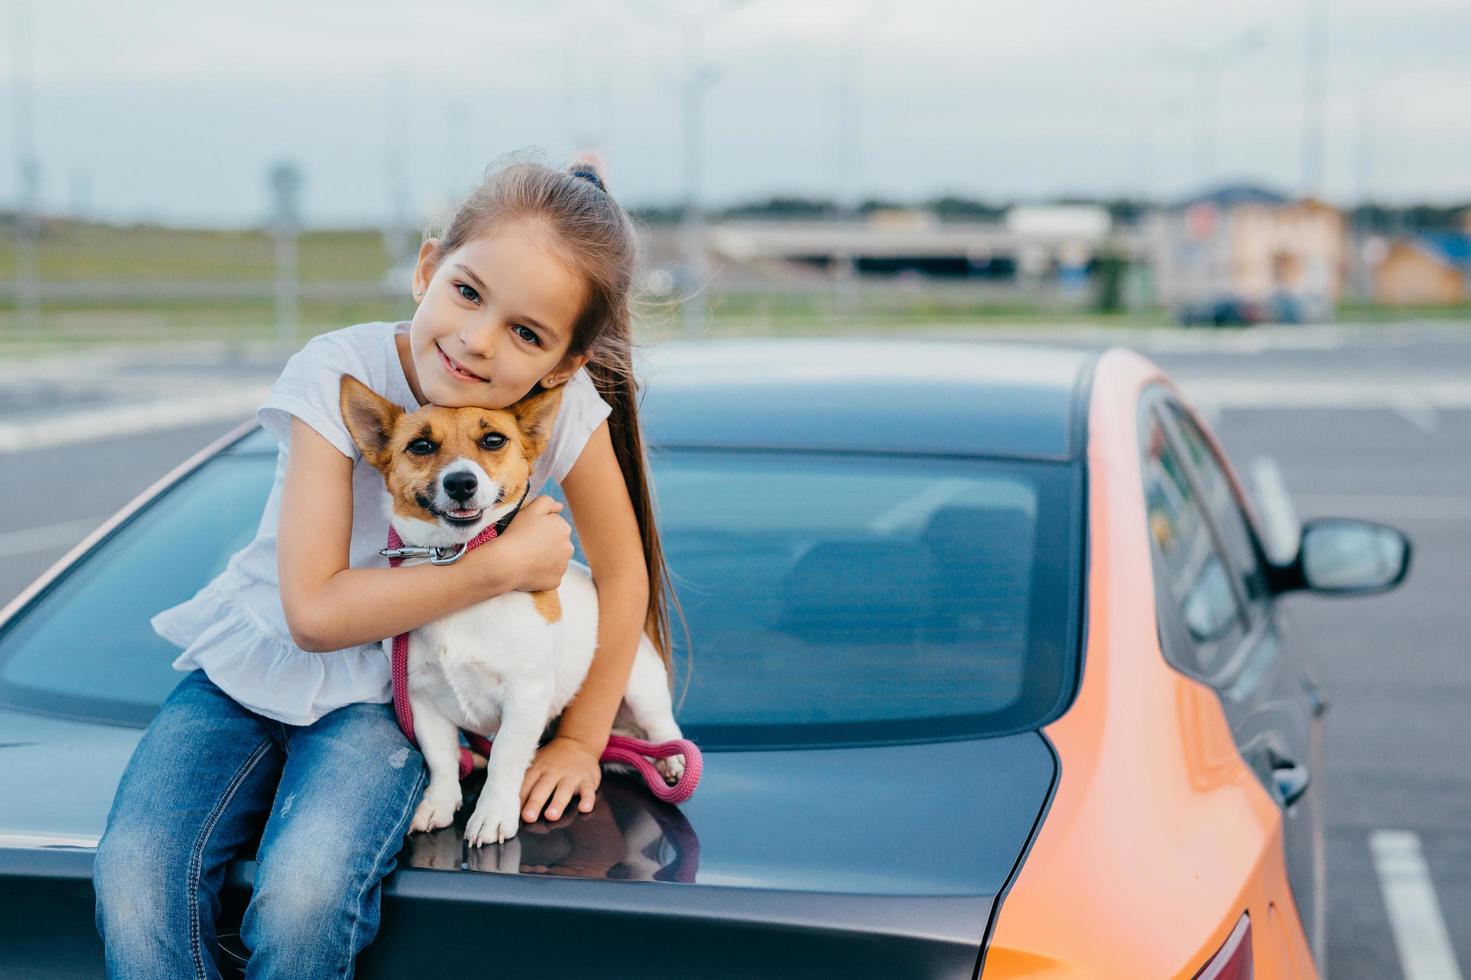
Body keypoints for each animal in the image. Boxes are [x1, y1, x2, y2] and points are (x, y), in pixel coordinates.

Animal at [341, 376, 685, 841]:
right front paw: (439, 802)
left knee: (663, 727)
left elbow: (506, 755)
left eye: (493, 440)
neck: (460, 565)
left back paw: (672, 760)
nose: (461, 482)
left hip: (639, 684)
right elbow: (441, 758)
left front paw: (492, 813)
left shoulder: (525, 695)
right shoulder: (422, 699)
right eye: (421, 446)